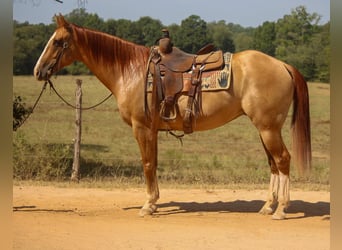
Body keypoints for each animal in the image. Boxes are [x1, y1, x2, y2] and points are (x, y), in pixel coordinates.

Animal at [34, 14, 310, 220]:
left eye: (58, 42)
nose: (38, 71)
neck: (131, 71)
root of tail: (283, 65)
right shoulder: (152, 130)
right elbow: (154, 163)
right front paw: (155, 202)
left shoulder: (142, 128)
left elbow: (147, 164)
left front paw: (148, 205)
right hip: (265, 129)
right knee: (273, 164)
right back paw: (268, 206)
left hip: (268, 128)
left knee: (283, 160)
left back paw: (282, 209)